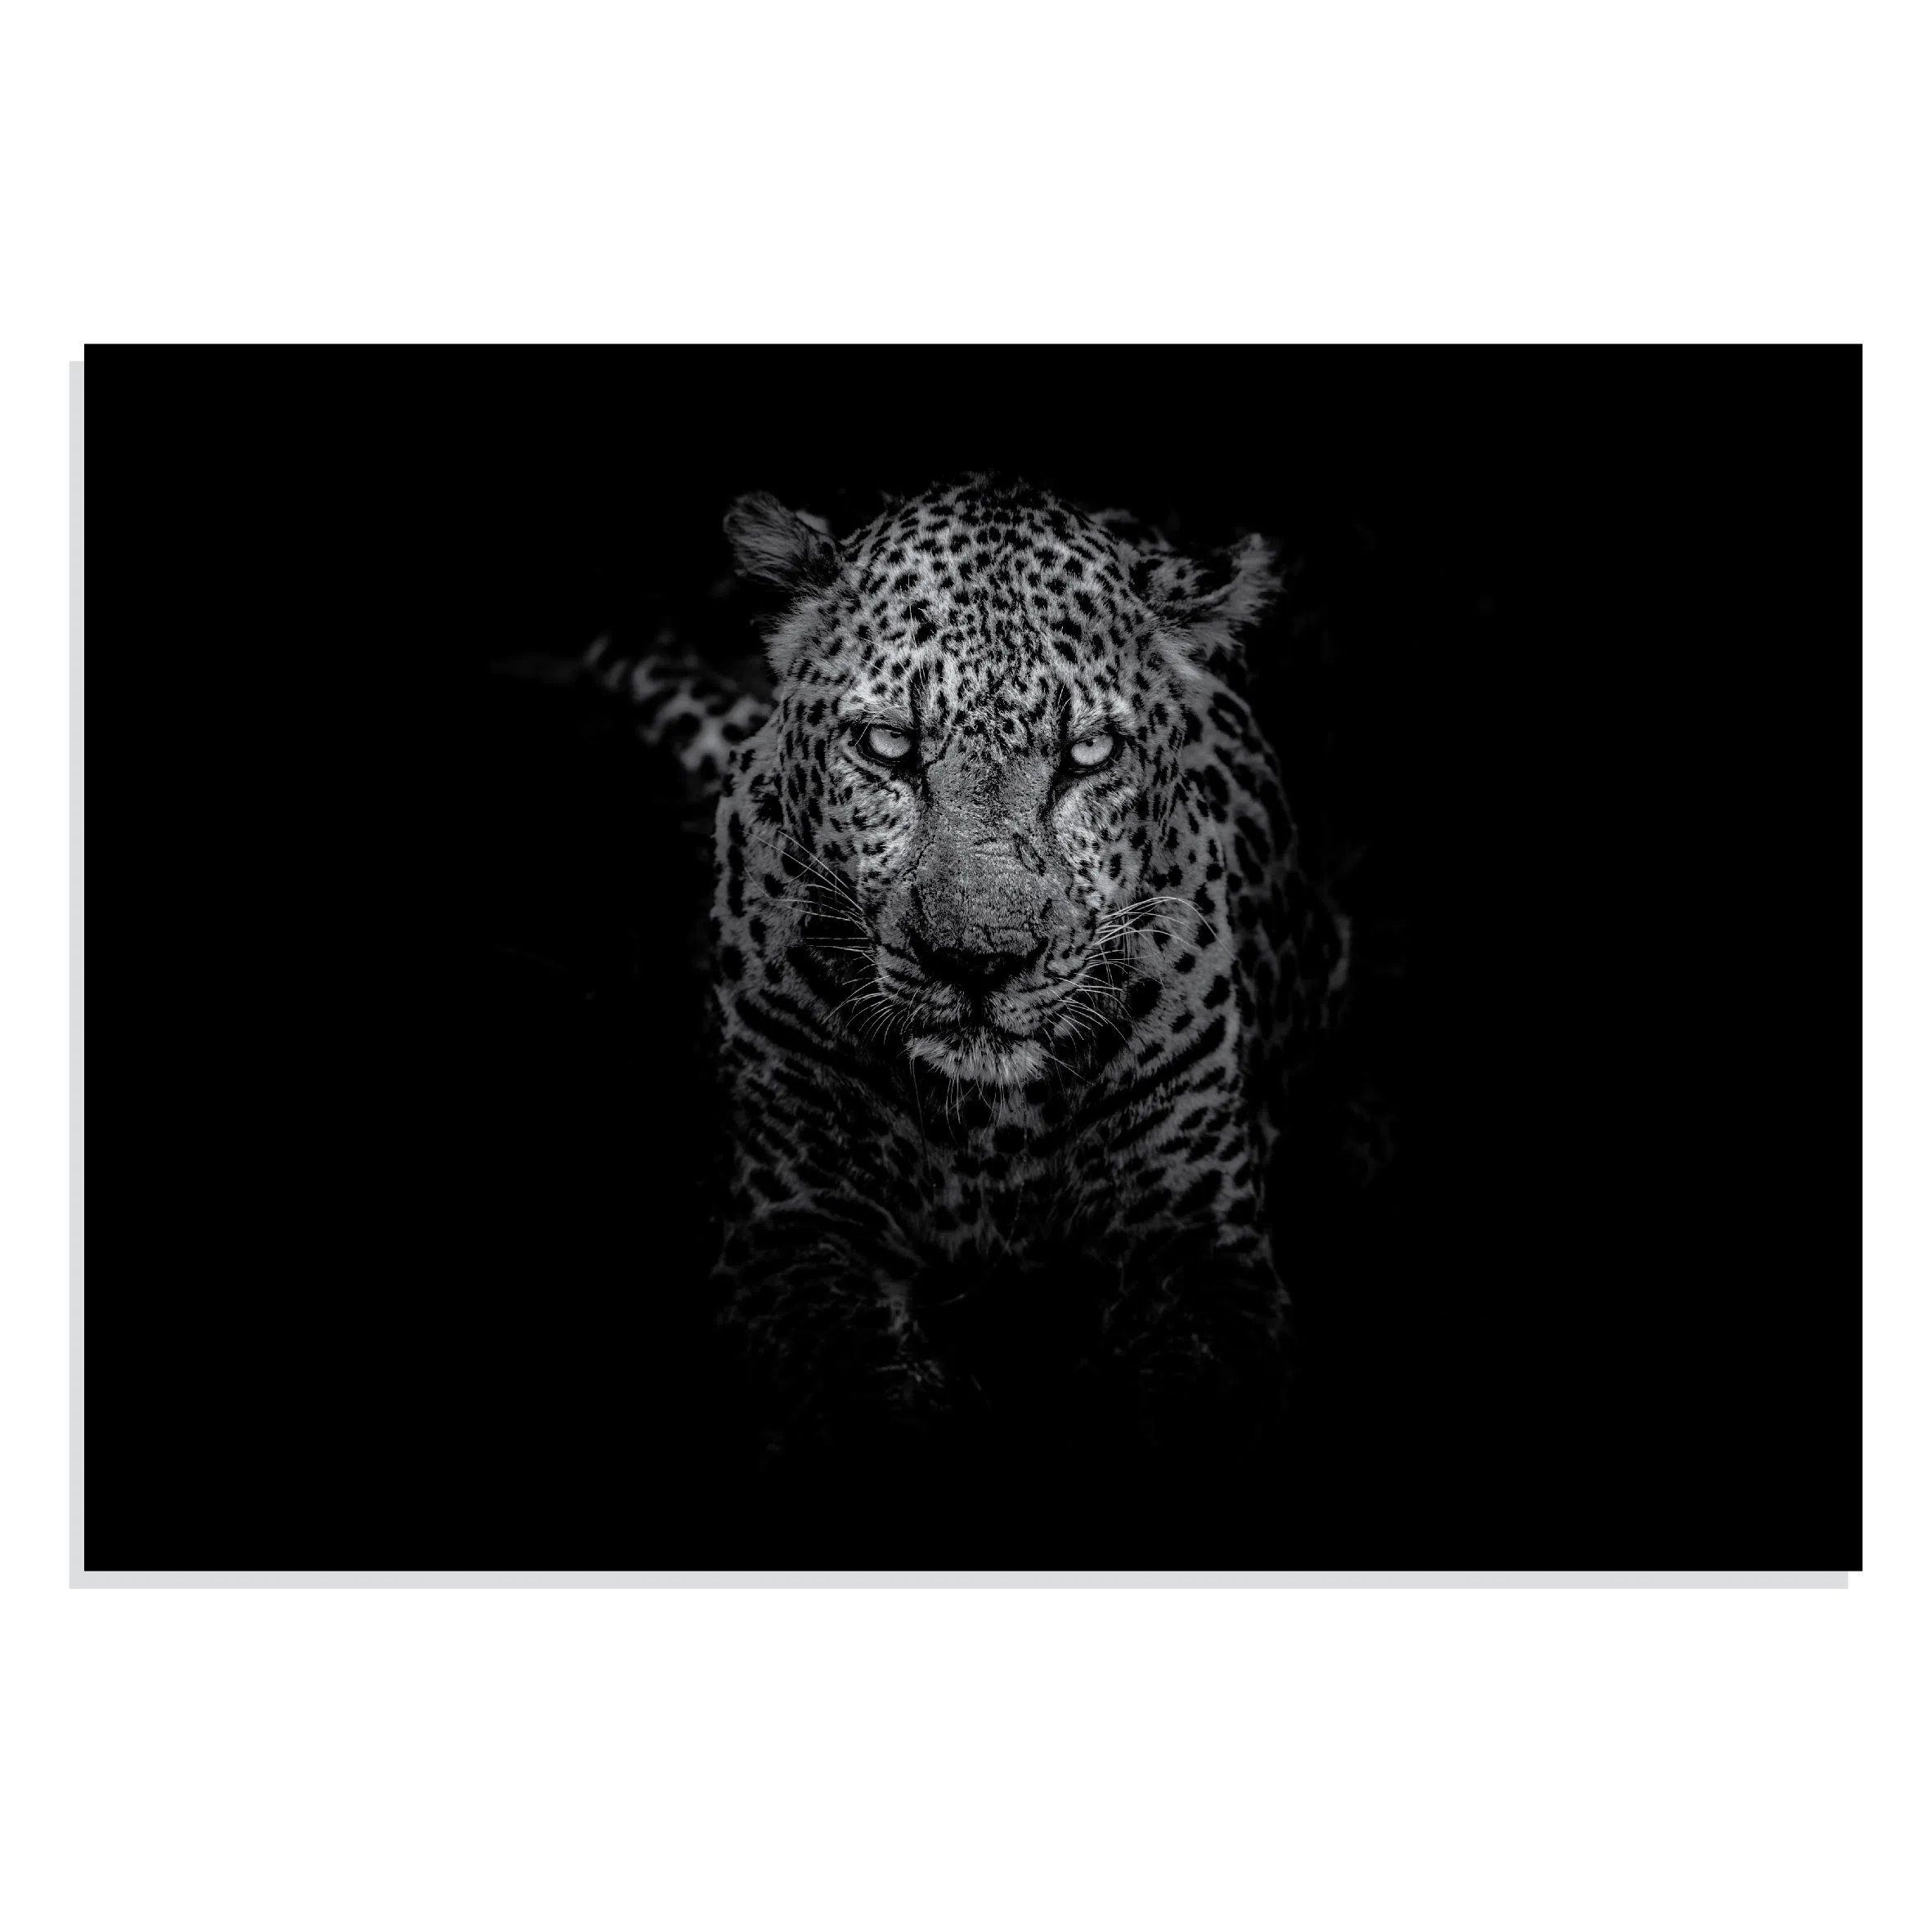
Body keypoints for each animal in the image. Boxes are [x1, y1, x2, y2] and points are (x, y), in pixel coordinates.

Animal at [587, 473, 1352, 1463]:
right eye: (887, 746)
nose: (978, 960)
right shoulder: (792, 1229)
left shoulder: (1198, 1246)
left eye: (1088, 754)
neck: (989, 1127)